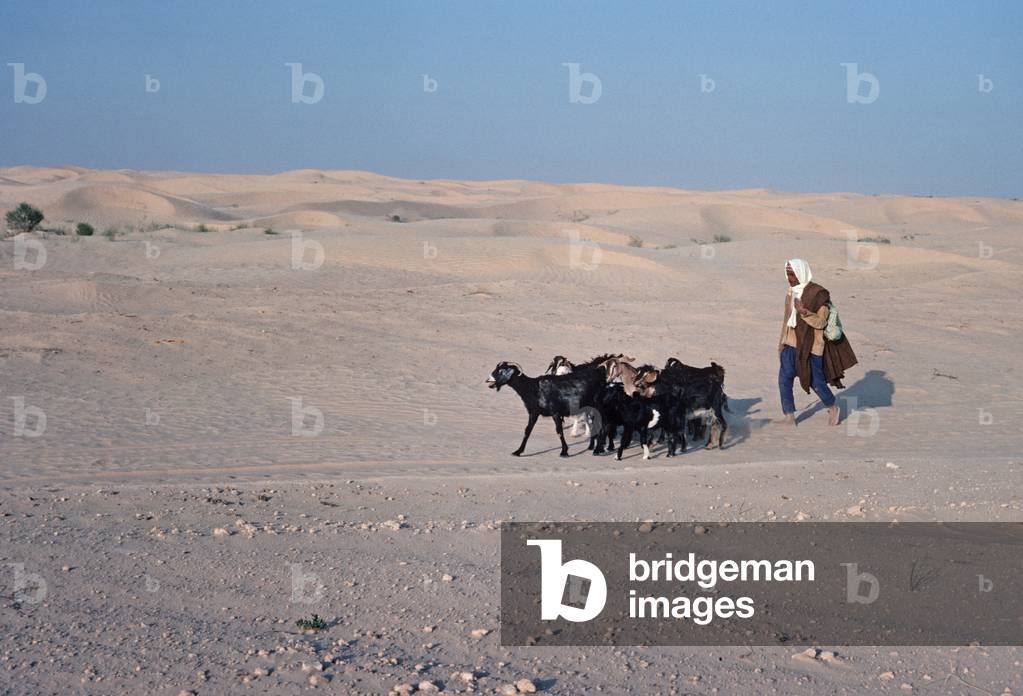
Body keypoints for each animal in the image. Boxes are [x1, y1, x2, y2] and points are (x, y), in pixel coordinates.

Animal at [487, 358, 615, 457]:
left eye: (501, 371)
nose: (488, 380)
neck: (533, 388)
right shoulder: (534, 412)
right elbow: (527, 431)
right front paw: (518, 451)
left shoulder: (555, 412)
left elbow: (559, 431)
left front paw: (564, 452)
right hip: (590, 408)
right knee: (595, 425)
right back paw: (592, 447)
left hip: (598, 405)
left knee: (603, 425)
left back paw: (598, 450)